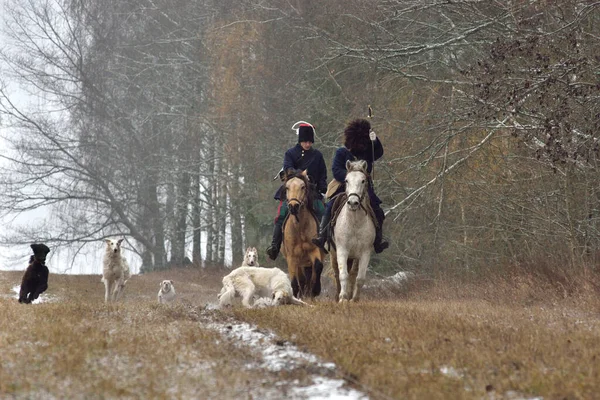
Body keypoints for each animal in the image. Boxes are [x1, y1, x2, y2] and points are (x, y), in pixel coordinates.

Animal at [282, 168, 324, 296]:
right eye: (287, 187)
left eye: (303, 187)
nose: (293, 206)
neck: (299, 228)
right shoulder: (291, 257)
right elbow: (295, 283)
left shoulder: (314, 250)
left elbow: (318, 266)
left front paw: (315, 289)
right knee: (302, 280)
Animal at [328, 159, 376, 304]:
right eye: (346, 180)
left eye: (363, 180)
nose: (353, 203)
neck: (354, 222)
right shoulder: (342, 250)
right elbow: (343, 275)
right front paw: (343, 298)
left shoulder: (365, 252)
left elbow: (359, 278)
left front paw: (354, 299)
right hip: (333, 253)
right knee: (337, 274)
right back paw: (339, 295)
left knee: (353, 275)